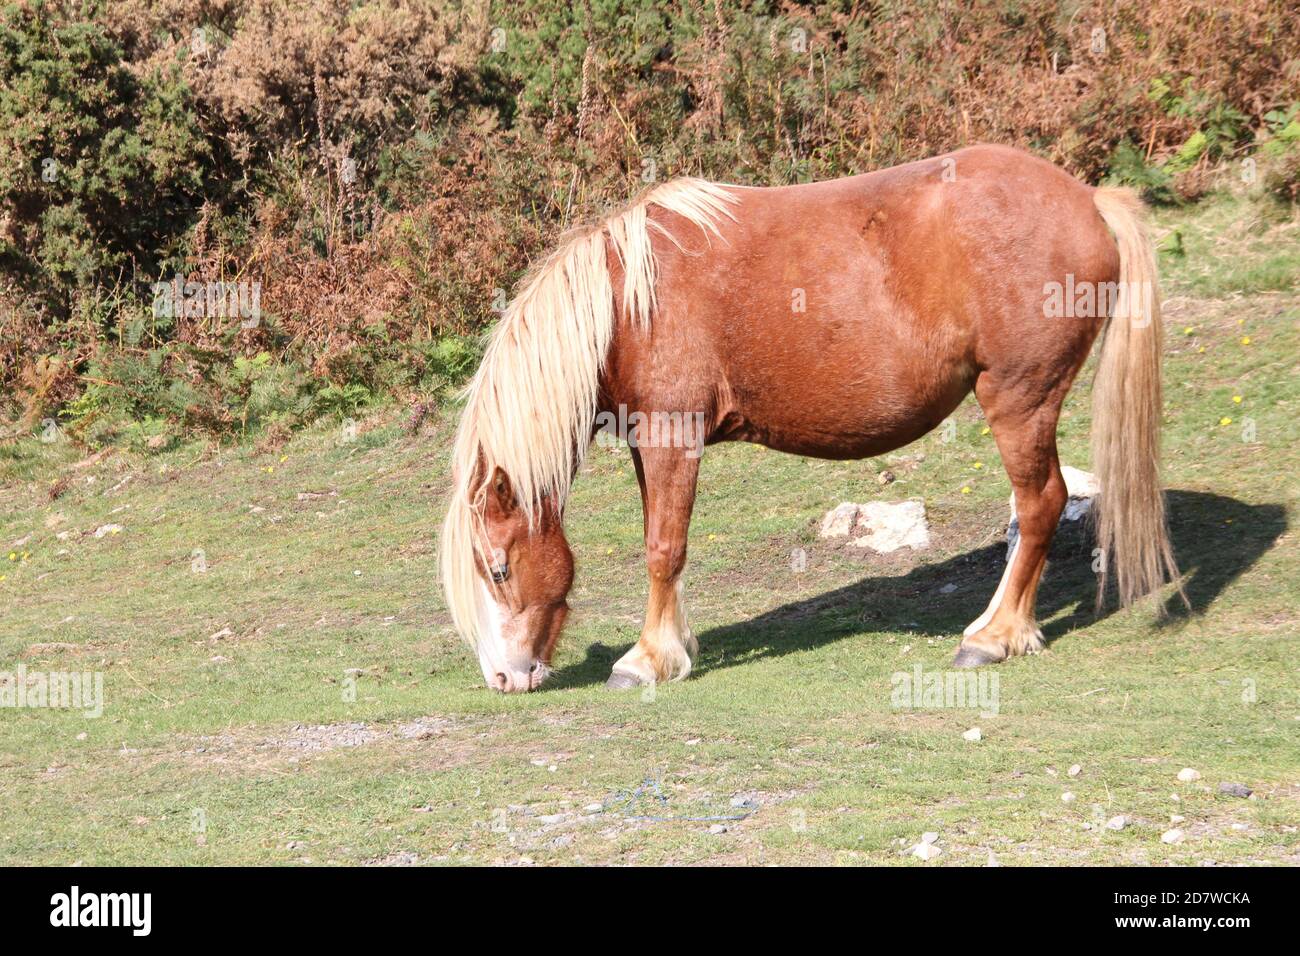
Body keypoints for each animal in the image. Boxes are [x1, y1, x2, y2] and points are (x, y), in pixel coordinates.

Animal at [441, 143, 1185, 697]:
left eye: (498, 569)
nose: (504, 678)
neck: (629, 305)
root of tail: (1088, 200)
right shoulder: (648, 446)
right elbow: (664, 542)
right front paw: (675, 644)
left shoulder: (672, 438)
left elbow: (663, 549)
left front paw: (647, 659)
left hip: (1019, 400)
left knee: (1040, 504)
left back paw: (994, 636)